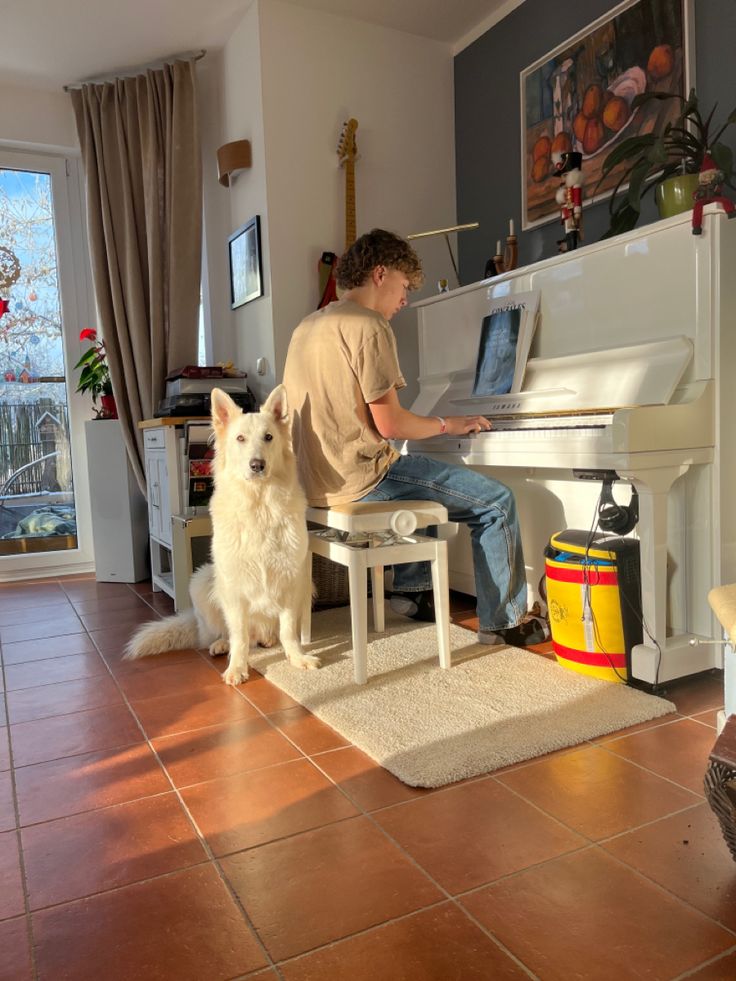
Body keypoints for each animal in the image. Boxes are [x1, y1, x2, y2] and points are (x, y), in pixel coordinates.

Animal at [124, 382, 320, 680]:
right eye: (240, 438)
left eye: (269, 437)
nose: (257, 465)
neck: (259, 505)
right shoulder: (234, 587)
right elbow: (239, 634)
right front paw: (237, 667)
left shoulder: (289, 580)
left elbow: (288, 630)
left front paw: (296, 658)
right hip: (202, 580)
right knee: (230, 634)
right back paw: (221, 644)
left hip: (304, 586)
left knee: (268, 634)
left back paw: (267, 640)